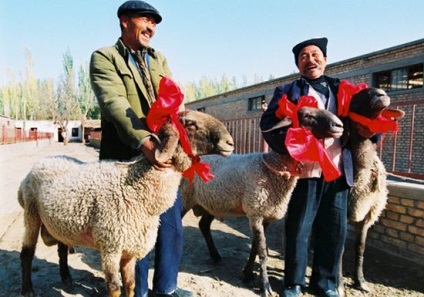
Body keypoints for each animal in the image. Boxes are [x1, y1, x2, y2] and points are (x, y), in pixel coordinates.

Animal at [18, 110, 234, 296]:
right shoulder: (111, 245)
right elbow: (114, 287)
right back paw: (28, 289)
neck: (134, 189)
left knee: (62, 247)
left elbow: (130, 284)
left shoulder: (131, 246)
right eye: (190, 123)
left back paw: (67, 279)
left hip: (61, 223)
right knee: (27, 253)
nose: (230, 142)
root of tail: (39, 164)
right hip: (31, 214)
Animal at [180, 106, 344, 296]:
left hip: (212, 202)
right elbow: (263, 252)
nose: (339, 125)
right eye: (306, 115)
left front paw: (248, 274)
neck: (270, 169)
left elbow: (255, 248)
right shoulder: (255, 212)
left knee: (204, 225)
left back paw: (215, 255)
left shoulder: (264, 216)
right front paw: (265, 286)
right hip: (186, 197)